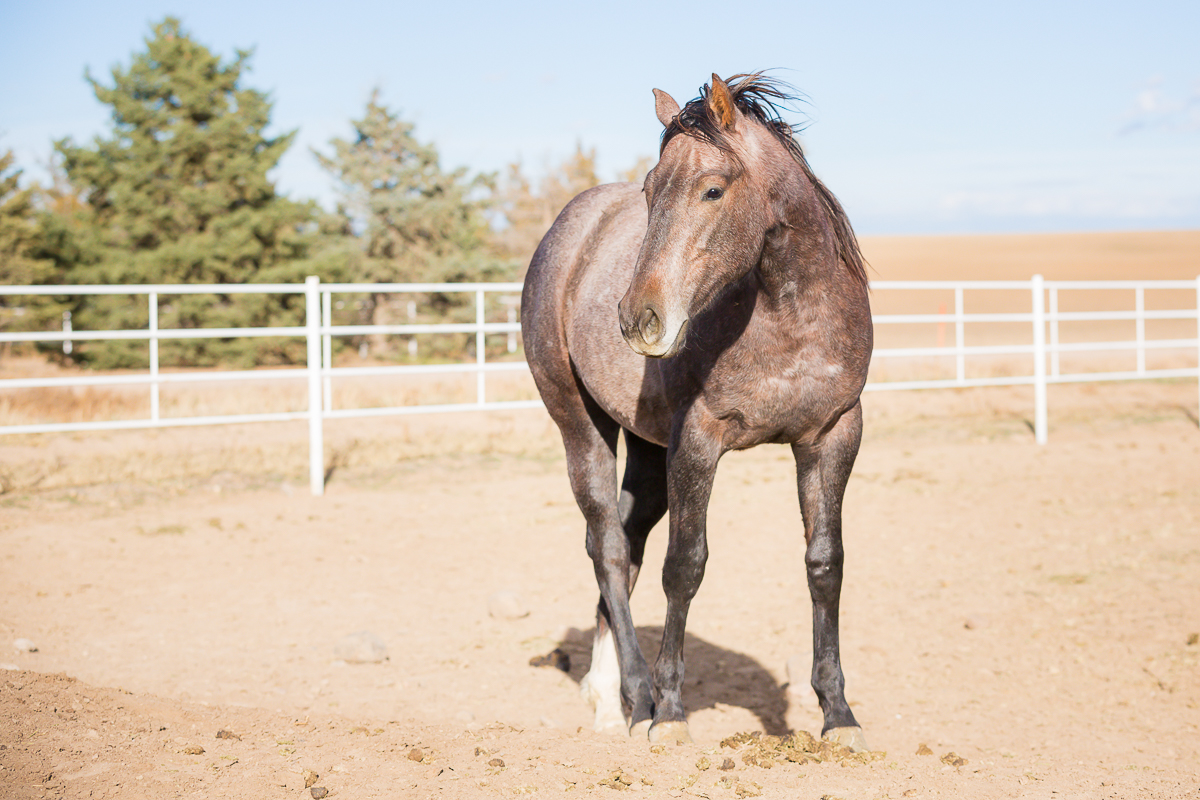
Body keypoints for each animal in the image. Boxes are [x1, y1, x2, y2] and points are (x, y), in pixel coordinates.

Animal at [520, 72, 872, 750]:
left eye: (712, 189)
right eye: (650, 189)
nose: (637, 318)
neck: (788, 317)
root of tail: (570, 225)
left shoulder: (833, 434)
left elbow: (826, 564)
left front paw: (838, 715)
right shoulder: (699, 442)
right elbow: (684, 566)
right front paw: (671, 714)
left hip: (646, 452)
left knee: (627, 543)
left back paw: (606, 699)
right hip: (580, 426)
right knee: (607, 547)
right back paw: (637, 699)